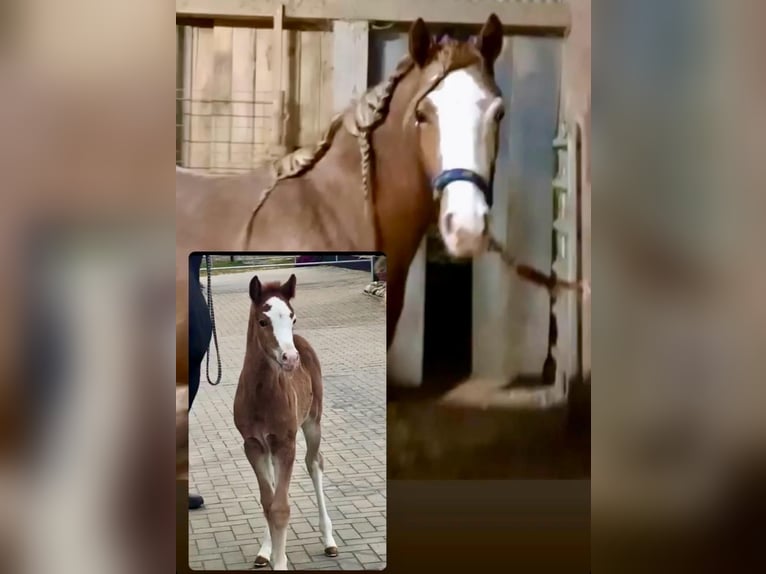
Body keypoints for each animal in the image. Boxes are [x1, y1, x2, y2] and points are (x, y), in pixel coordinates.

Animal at [234, 274, 340, 572]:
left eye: (292, 318)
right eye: (263, 321)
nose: (290, 359)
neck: (261, 394)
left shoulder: (286, 442)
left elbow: (280, 508)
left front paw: (279, 563)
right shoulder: (253, 445)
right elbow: (268, 502)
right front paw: (268, 552)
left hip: (313, 422)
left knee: (315, 463)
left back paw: (329, 540)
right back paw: (265, 550)